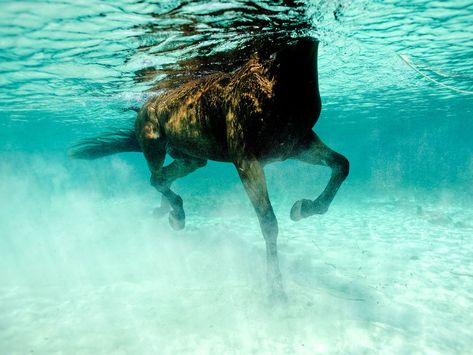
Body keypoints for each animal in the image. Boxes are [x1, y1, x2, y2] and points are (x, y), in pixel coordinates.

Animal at [71, 36, 350, 300]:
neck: (277, 81)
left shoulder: (298, 146)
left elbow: (341, 165)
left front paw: (302, 208)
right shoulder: (246, 160)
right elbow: (269, 222)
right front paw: (276, 290)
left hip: (191, 158)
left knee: (164, 177)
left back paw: (168, 212)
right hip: (154, 143)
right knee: (156, 178)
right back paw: (176, 216)